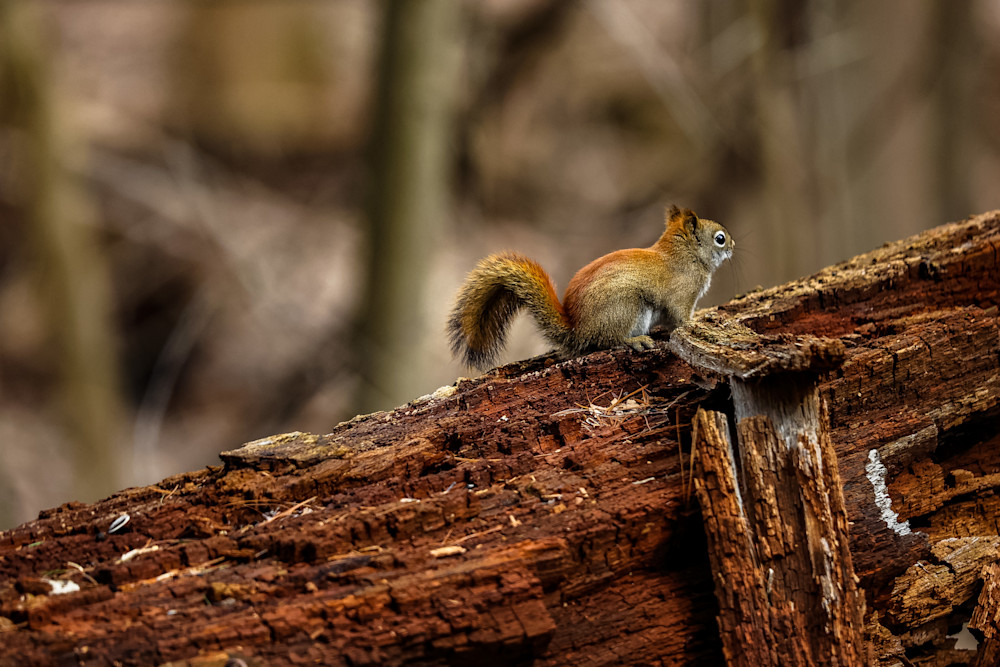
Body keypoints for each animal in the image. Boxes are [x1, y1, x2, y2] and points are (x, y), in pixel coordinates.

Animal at [448, 205, 734, 370]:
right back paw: (635, 341)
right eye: (719, 239)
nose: (732, 246)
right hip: (627, 307)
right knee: (608, 341)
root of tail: (579, 331)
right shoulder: (681, 296)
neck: (683, 255)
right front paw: (697, 323)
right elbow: (680, 317)